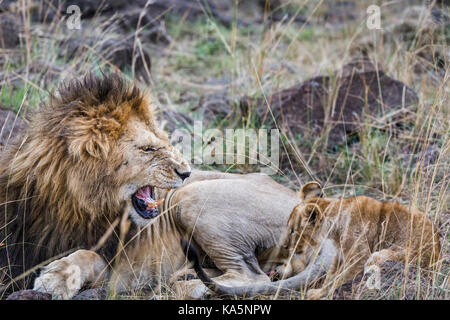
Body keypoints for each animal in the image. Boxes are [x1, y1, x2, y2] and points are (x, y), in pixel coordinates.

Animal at [0, 74, 334, 298]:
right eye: (148, 148)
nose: (186, 172)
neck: (69, 202)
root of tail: (315, 212)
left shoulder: (125, 270)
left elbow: (87, 255)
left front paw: (55, 277)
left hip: (190, 198)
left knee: (254, 277)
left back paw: (191, 287)